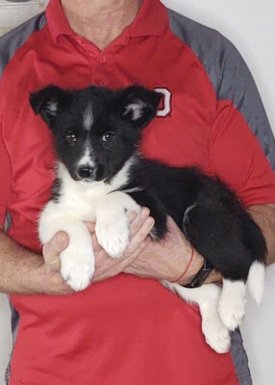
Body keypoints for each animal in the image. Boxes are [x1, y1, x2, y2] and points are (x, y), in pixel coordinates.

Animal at [29, 85, 268, 352]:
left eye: (108, 137)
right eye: (70, 136)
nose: (85, 170)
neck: (92, 190)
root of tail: (229, 197)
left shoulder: (155, 213)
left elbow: (115, 196)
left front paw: (112, 235)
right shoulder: (52, 213)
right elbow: (70, 228)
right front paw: (78, 269)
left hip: (201, 216)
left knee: (239, 261)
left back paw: (231, 308)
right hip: (175, 274)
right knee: (209, 292)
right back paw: (217, 334)